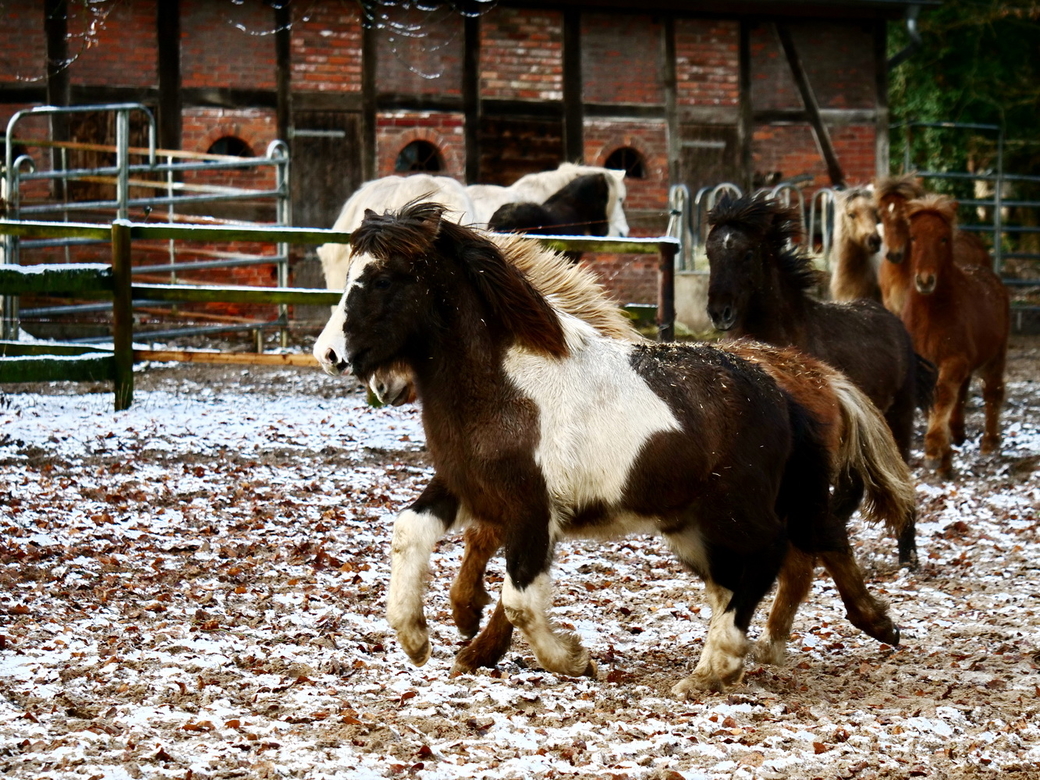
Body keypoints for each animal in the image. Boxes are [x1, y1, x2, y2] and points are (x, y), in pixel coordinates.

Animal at [309, 201, 911, 694]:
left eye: (382, 280)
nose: (329, 354)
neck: (508, 386)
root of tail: (786, 390)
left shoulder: (531, 511)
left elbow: (520, 601)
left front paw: (573, 660)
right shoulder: (469, 487)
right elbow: (408, 531)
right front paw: (415, 637)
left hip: (735, 511)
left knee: (777, 553)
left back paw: (721, 663)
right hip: (696, 525)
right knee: (760, 565)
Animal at [902, 195, 1006, 476]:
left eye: (943, 238)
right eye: (913, 237)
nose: (925, 280)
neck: (932, 314)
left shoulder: (954, 359)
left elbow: (943, 395)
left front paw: (934, 451)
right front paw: (944, 458)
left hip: (996, 356)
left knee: (992, 392)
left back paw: (989, 442)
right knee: (964, 393)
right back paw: (957, 434)